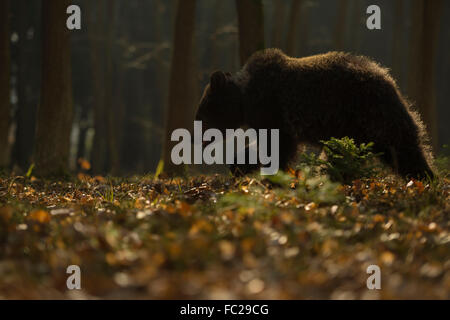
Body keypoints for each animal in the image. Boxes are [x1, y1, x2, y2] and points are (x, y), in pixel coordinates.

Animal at [195, 48, 434, 179]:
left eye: (201, 113)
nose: (197, 139)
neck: (245, 100)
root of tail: (388, 80)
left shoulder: (273, 109)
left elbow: (277, 148)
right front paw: (238, 166)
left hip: (363, 115)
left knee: (402, 148)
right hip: (356, 130)